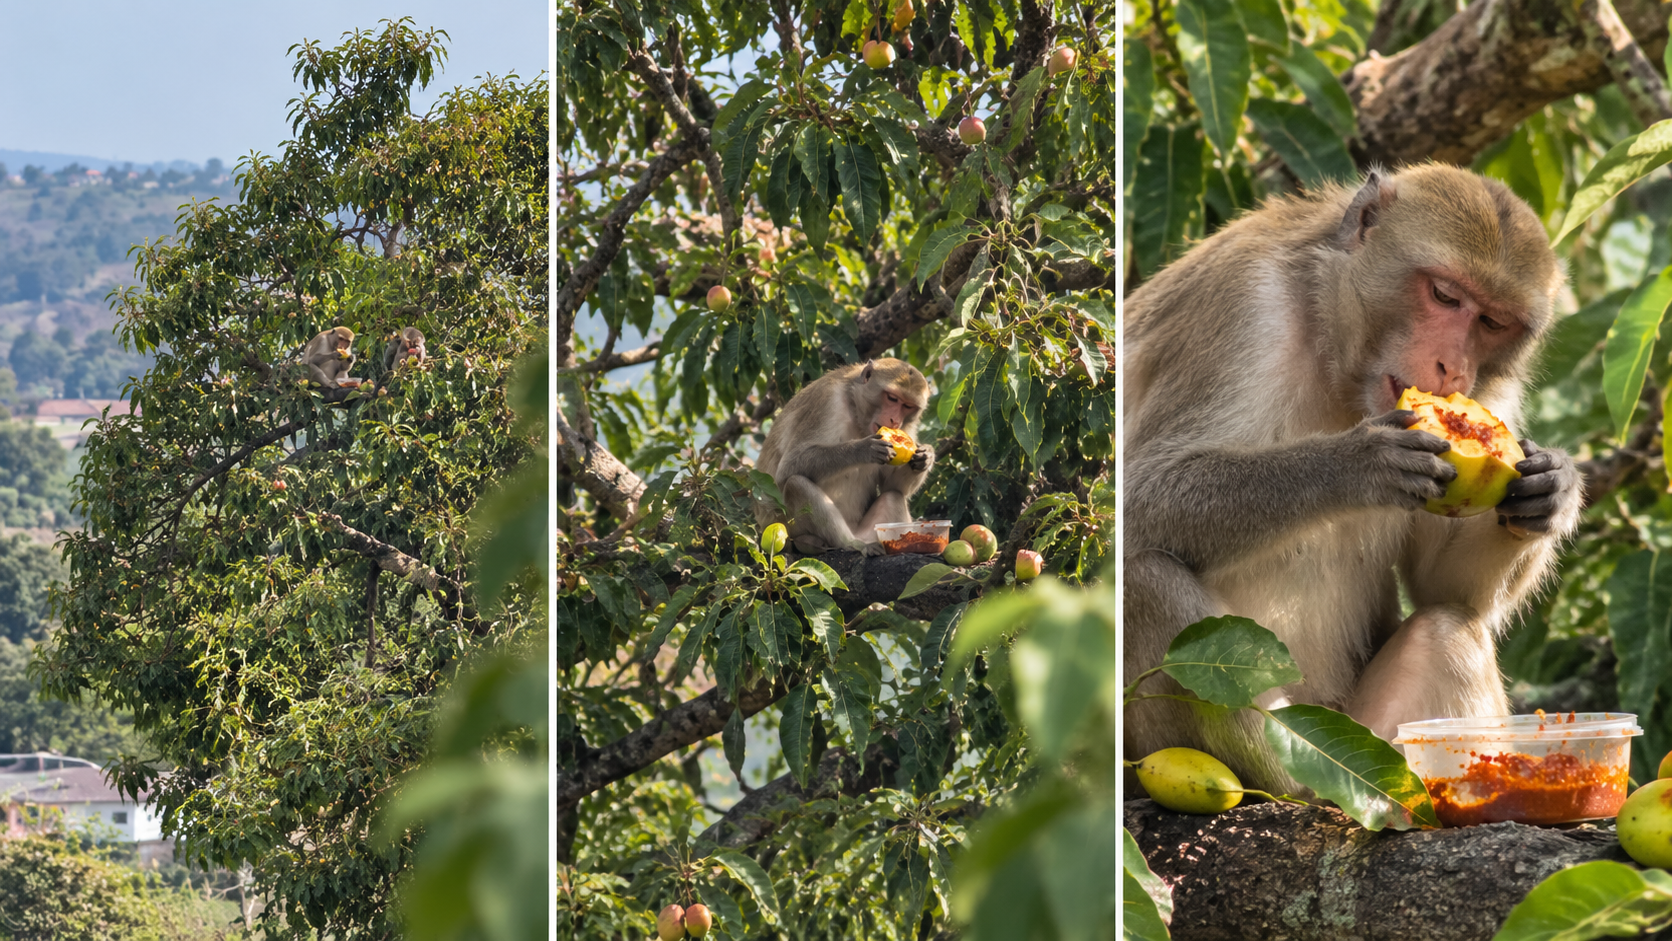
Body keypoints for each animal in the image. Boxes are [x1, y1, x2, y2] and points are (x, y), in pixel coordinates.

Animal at [755, 358, 935, 556]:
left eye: (908, 406)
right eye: (892, 398)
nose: (895, 421)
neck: (855, 407)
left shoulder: (908, 427)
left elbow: (893, 486)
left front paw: (925, 457)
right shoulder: (827, 399)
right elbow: (789, 466)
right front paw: (863, 449)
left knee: (893, 497)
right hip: (785, 524)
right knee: (796, 484)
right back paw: (851, 543)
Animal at [1122, 165, 1584, 792]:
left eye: (1492, 322)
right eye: (1445, 295)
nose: (1454, 370)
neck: (1331, 346)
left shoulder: (1496, 394)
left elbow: (1445, 589)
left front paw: (1553, 493)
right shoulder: (1242, 302)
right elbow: (1138, 501)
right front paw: (1357, 465)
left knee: (1446, 630)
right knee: (1142, 578)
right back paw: (1289, 778)